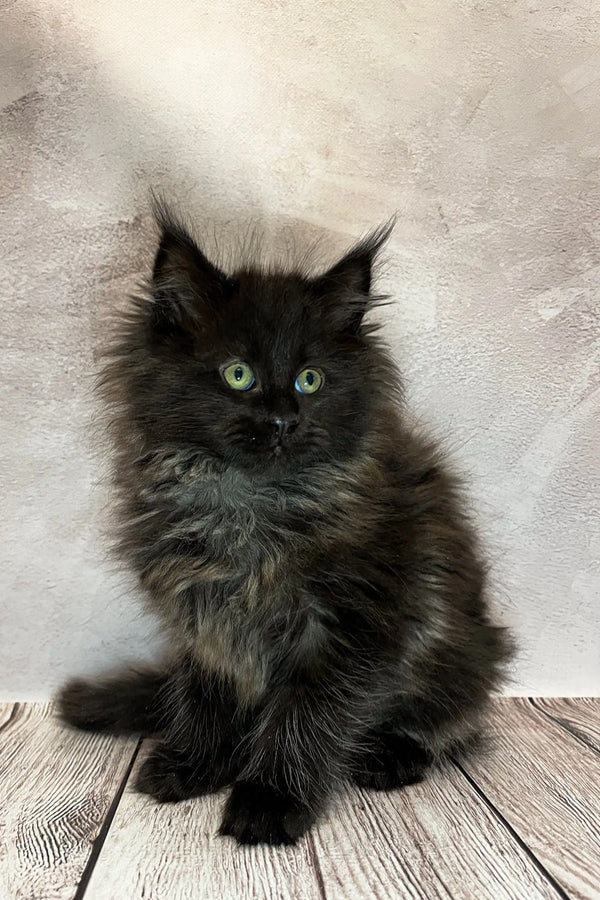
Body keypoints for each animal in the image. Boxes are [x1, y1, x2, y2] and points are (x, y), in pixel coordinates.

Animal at [58, 207, 512, 848]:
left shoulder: (347, 628)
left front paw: (270, 800)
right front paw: (196, 765)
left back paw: (390, 755)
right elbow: (205, 700)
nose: (281, 420)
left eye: (310, 380)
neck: (248, 505)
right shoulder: (206, 618)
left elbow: (305, 720)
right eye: (238, 374)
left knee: (448, 726)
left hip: (457, 657)